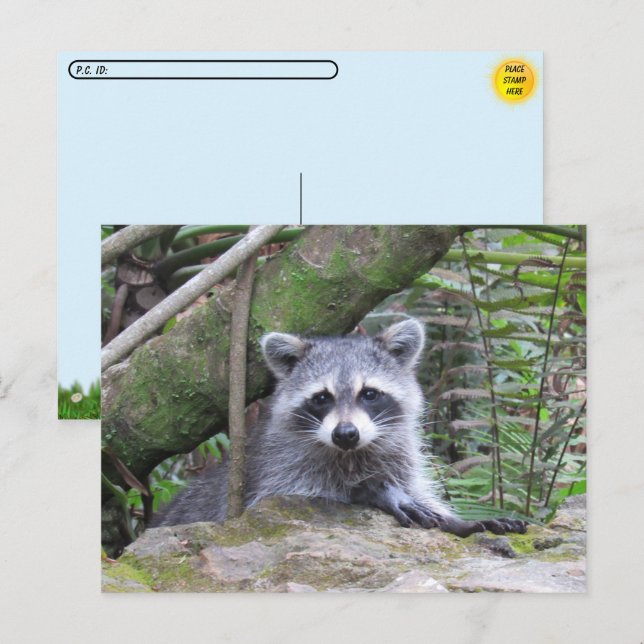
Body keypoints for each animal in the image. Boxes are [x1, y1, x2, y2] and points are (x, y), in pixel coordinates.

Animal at [153, 319, 526, 537]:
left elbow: (417, 490)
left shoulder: (399, 456)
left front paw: (458, 520)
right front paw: (372, 490)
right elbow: (290, 496)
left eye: (369, 394)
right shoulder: (276, 467)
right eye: (322, 398)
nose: (345, 434)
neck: (352, 453)